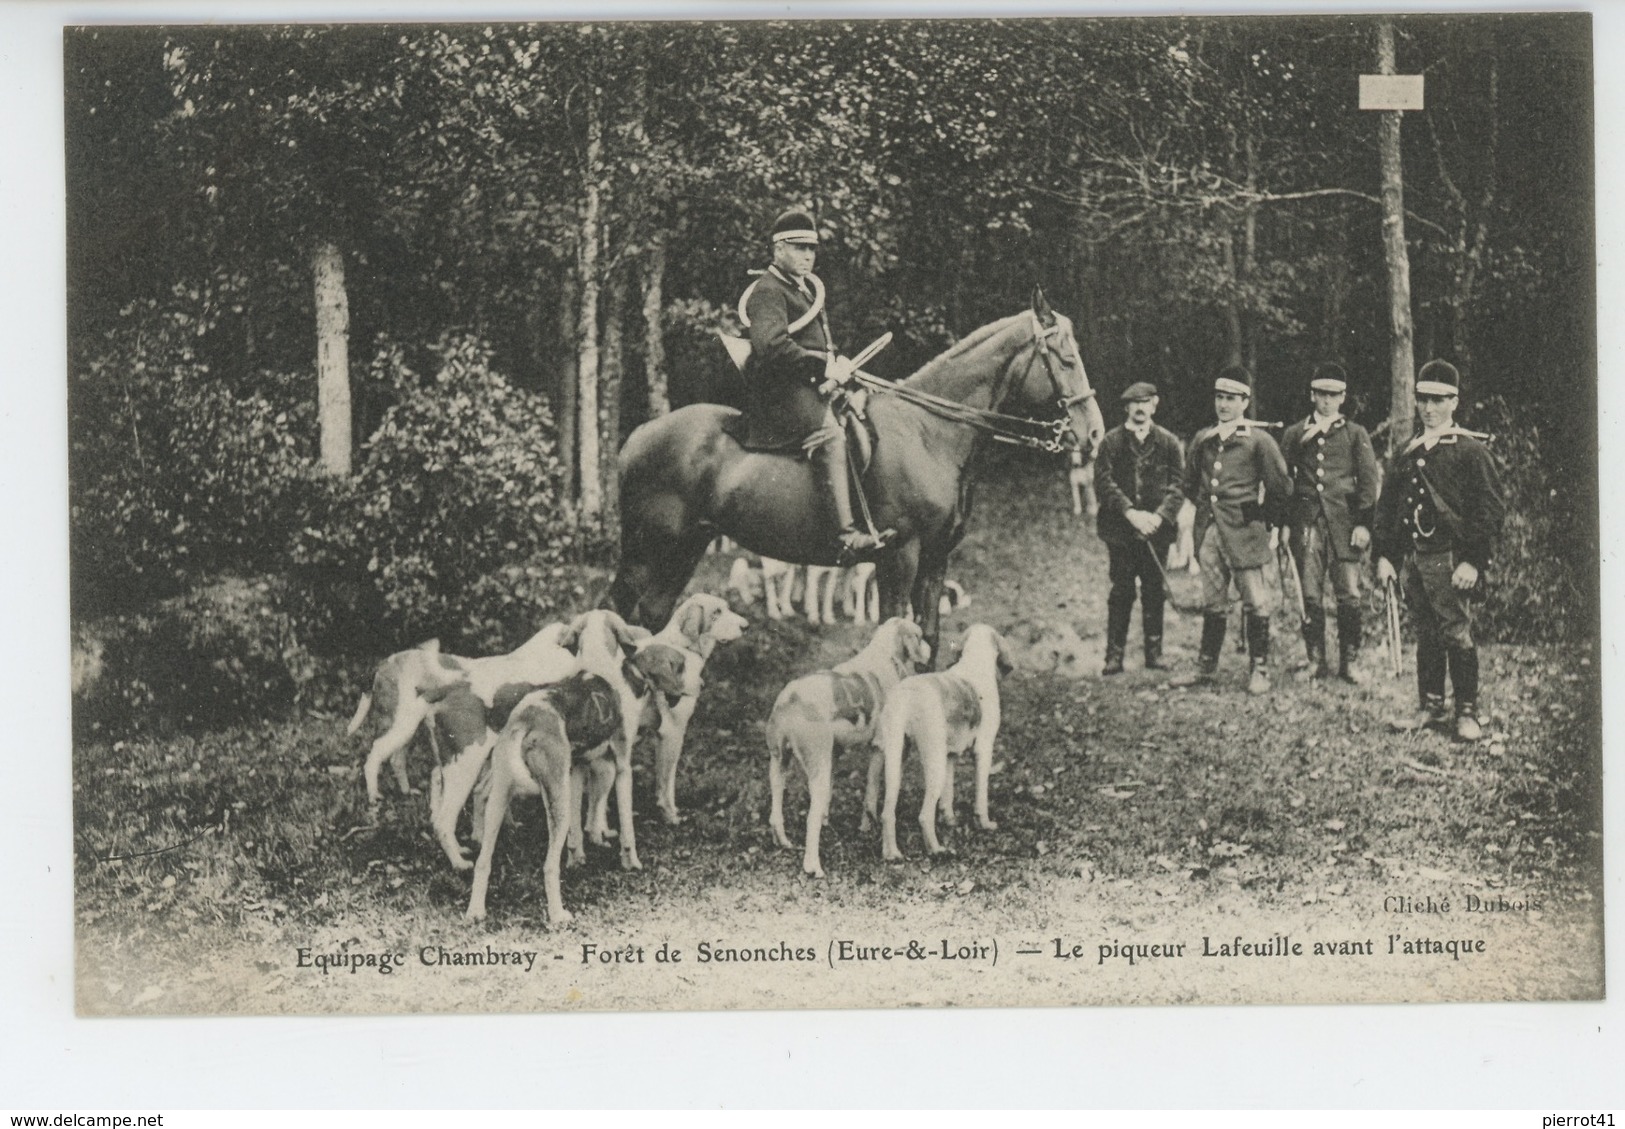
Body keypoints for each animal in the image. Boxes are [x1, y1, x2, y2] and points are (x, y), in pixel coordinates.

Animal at [607, 287, 1105, 666]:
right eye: (1064, 357)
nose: (1094, 432)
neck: (929, 433)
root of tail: (637, 437)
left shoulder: (935, 558)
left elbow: (928, 641)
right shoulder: (900, 556)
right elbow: (893, 633)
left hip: (685, 547)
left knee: (649, 615)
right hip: (649, 548)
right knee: (619, 612)